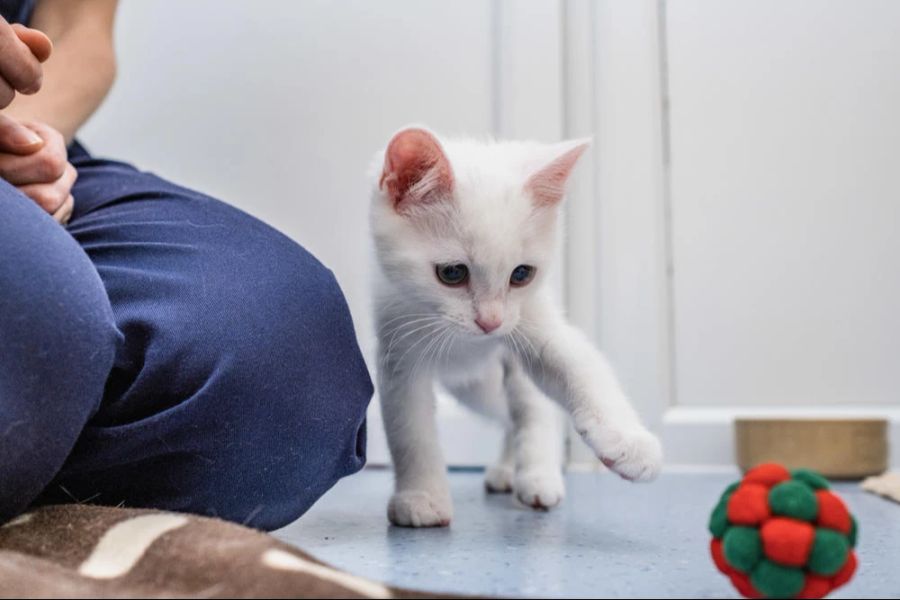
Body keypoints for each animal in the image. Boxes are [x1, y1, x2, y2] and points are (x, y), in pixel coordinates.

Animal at [370, 125, 660, 524]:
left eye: (521, 274)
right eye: (452, 273)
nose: (489, 322)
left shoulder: (532, 319)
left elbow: (580, 367)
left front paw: (629, 441)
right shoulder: (398, 346)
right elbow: (409, 428)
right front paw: (421, 497)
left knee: (529, 407)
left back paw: (534, 474)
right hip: (475, 387)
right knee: (508, 412)